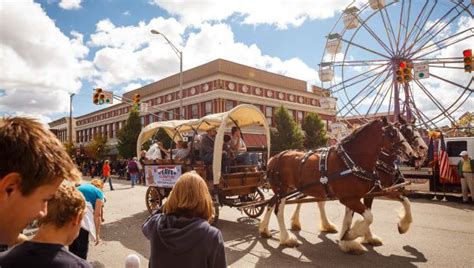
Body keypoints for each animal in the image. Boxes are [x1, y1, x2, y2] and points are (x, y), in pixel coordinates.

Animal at [258, 118, 416, 253]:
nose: (412, 154)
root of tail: (273, 157)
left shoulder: (362, 195)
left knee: (271, 204)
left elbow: (350, 218)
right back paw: (286, 238)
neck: (352, 161)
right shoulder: (350, 198)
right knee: (279, 210)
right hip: (282, 189)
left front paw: (347, 242)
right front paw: (352, 235)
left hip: (287, 190)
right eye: (392, 133)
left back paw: (265, 229)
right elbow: (369, 217)